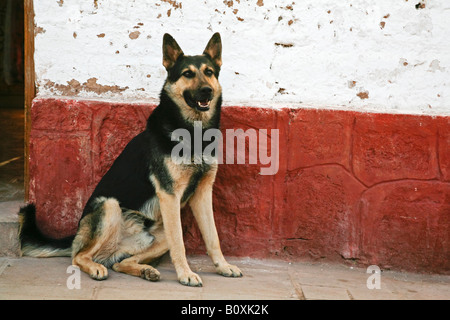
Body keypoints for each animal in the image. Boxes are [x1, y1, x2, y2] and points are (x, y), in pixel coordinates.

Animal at [18, 33, 243, 288]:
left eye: (209, 72)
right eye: (187, 74)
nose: (206, 91)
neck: (193, 132)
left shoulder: (203, 194)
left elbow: (213, 237)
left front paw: (223, 266)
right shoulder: (169, 196)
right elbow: (180, 244)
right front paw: (185, 274)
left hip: (159, 235)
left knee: (120, 262)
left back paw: (146, 271)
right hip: (110, 207)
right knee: (79, 256)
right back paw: (96, 268)